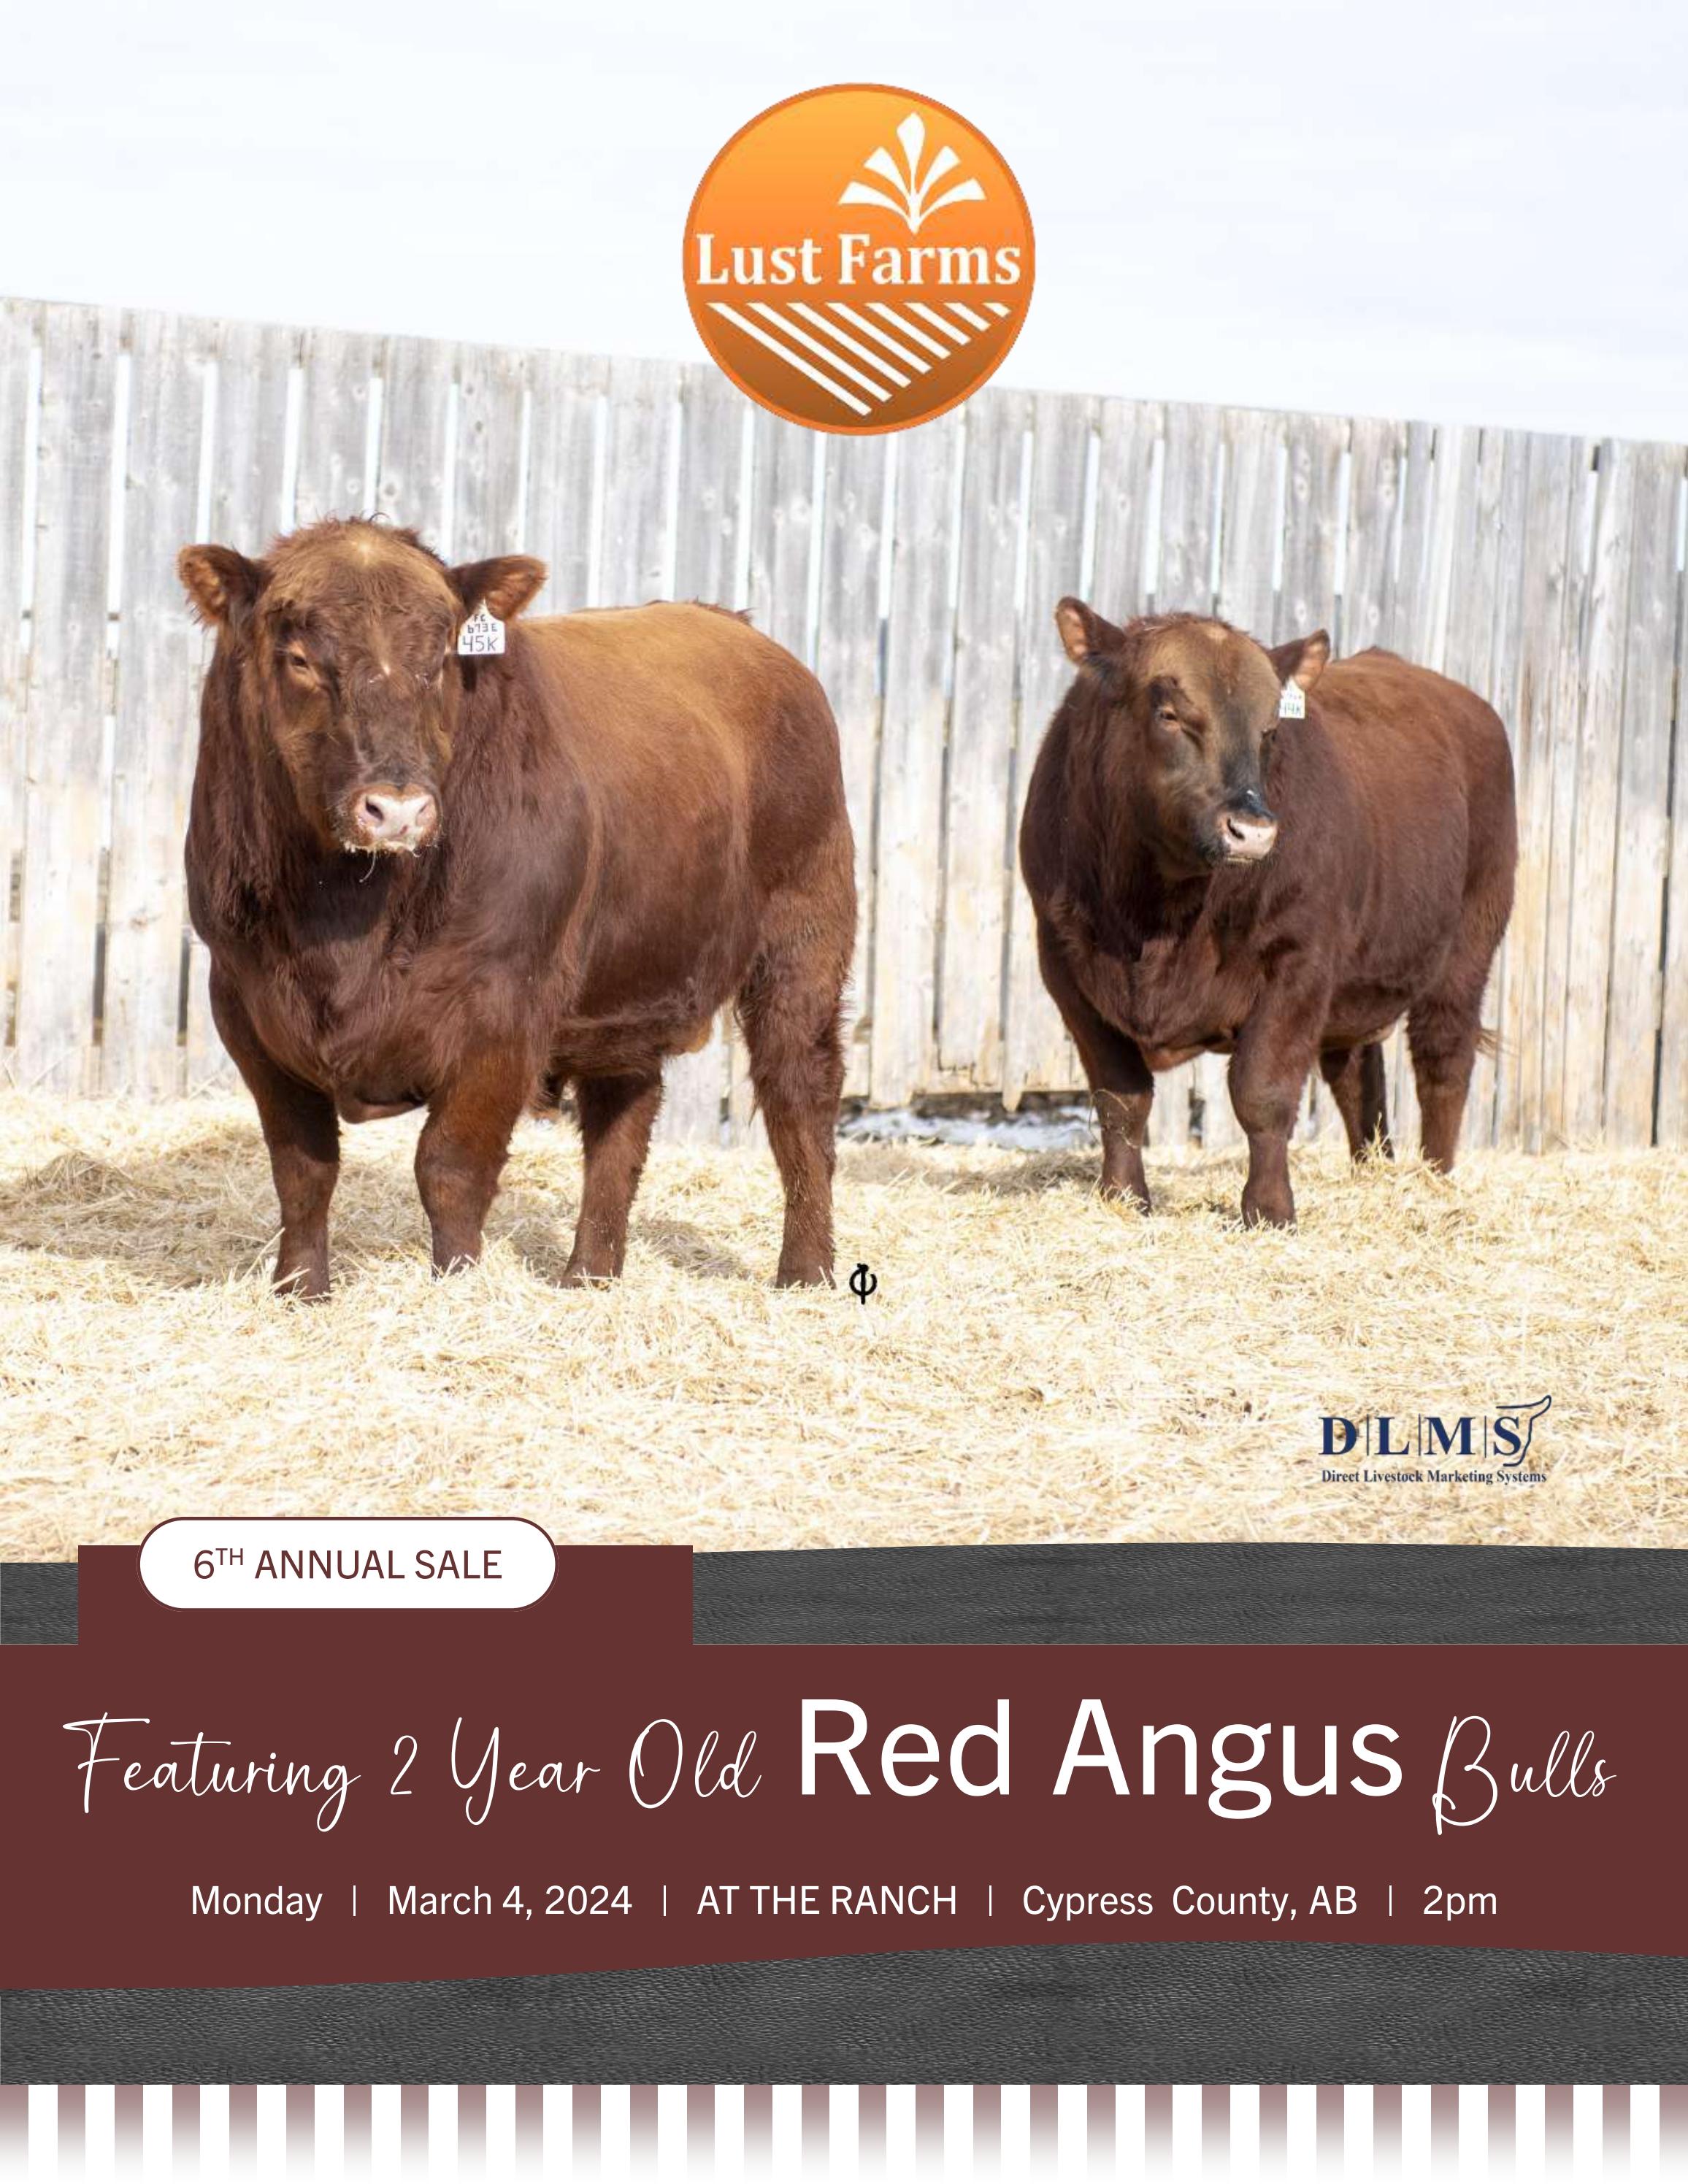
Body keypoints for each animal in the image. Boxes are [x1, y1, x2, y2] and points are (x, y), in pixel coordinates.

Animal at [179, 518, 856, 1296]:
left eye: (442, 658)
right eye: (297, 659)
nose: (397, 809)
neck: (344, 916)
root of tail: (741, 631)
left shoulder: (504, 1008)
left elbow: (450, 1167)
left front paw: (457, 1287)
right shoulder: (244, 1003)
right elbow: (302, 1169)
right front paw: (299, 1290)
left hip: (804, 940)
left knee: (800, 1097)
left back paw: (806, 1274)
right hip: (627, 987)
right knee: (621, 1123)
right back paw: (589, 1274)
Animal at [1018, 601, 1517, 1228]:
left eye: (1270, 730)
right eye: (1168, 714)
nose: (1252, 831)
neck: (1156, 914)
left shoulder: (1298, 963)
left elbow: (1263, 1093)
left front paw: (1270, 1209)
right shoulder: (1063, 962)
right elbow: (1121, 1096)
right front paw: (1124, 1196)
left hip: (1467, 949)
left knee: (1443, 1062)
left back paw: (1435, 1178)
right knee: (1357, 1073)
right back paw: (1371, 1170)